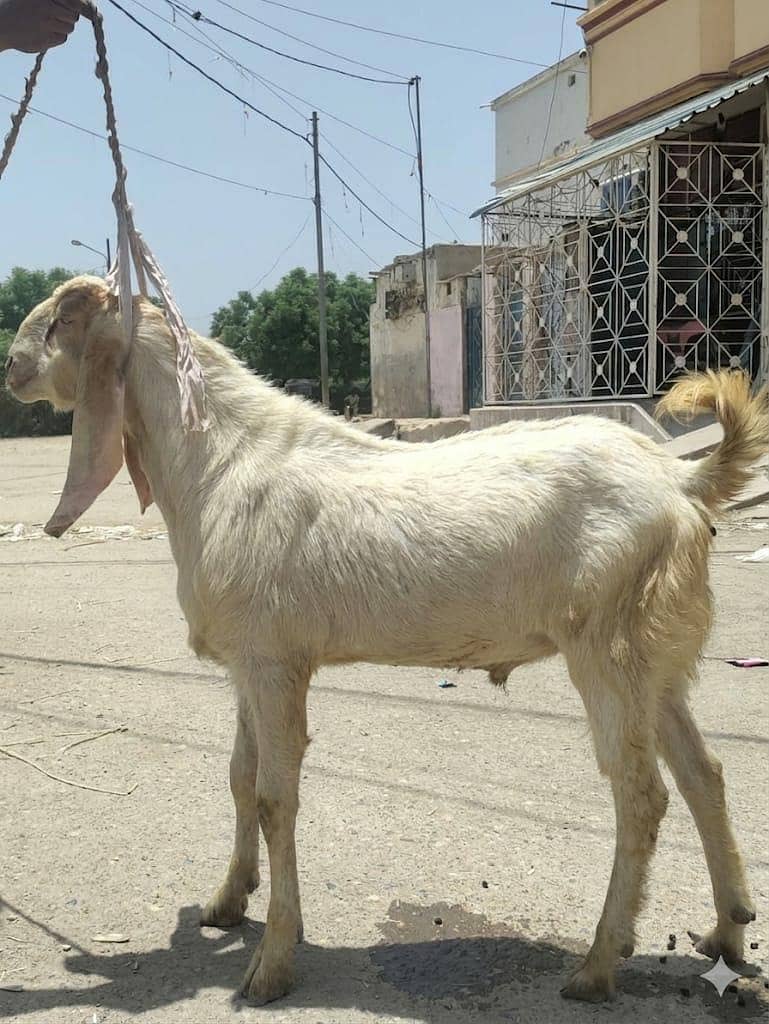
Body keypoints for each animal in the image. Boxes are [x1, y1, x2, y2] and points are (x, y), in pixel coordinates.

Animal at [7, 275, 767, 1004]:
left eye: (59, 321)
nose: (10, 368)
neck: (216, 462)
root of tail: (681, 478)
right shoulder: (251, 660)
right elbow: (239, 778)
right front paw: (227, 903)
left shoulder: (273, 661)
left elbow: (274, 798)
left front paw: (272, 963)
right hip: (655, 657)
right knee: (703, 775)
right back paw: (727, 933)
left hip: (608, 646)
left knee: (641, 796)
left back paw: (598, 964)